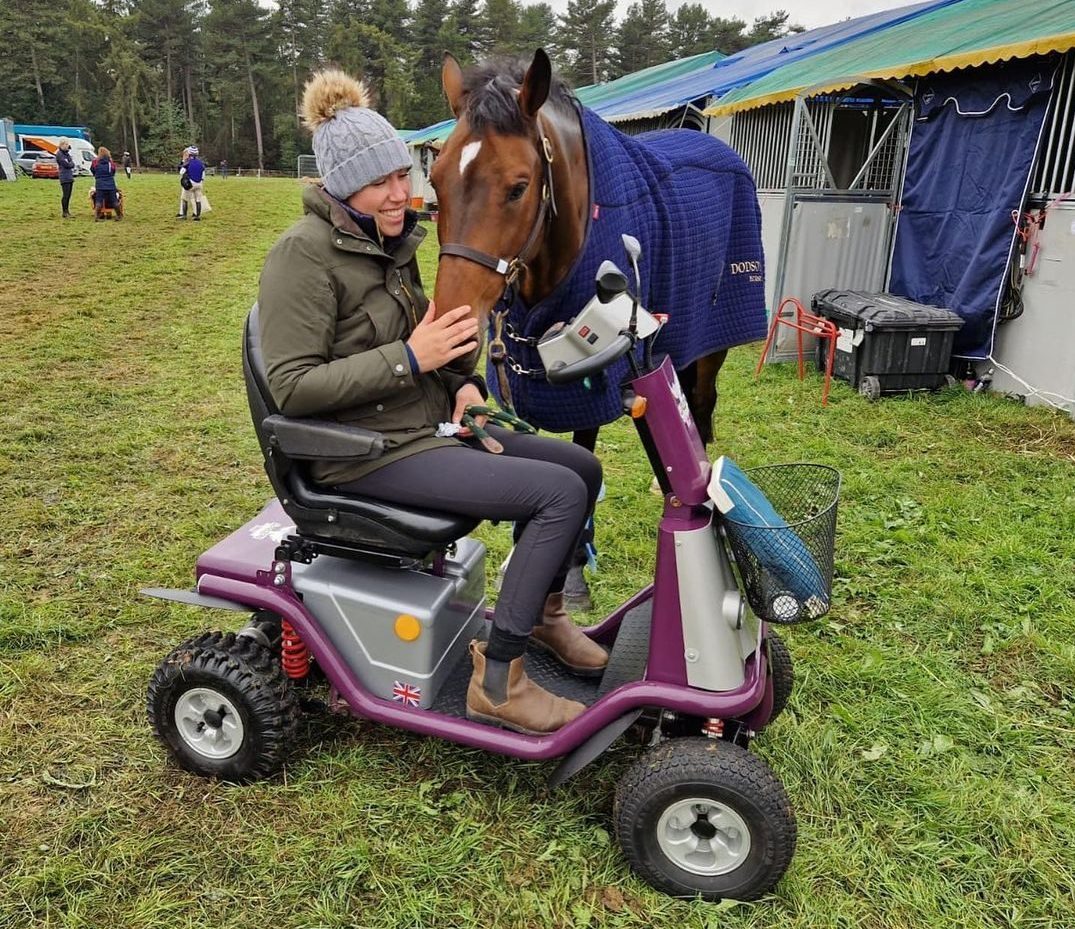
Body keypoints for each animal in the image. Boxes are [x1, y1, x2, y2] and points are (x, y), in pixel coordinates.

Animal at [427, 48, 774, 602]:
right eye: (436, 181)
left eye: (518, 187)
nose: (452, 342)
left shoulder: (589, 374)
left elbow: (583, 444)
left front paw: (569, 570)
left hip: (712, 336)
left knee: (700, 401)